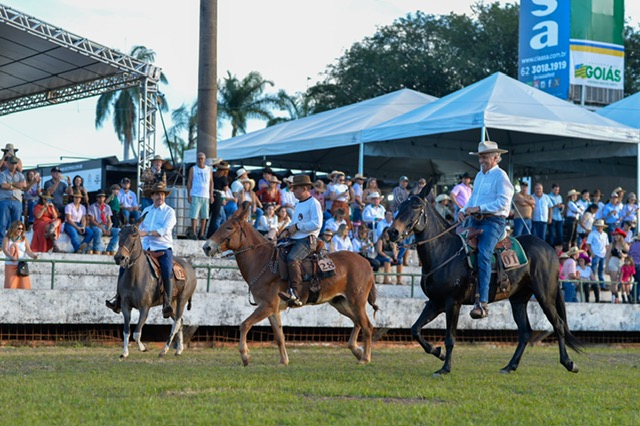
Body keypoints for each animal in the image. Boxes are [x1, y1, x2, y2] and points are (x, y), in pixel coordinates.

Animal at [114, 216, 196, 360]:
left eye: (134, 235)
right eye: (119, 233)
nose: (120, 257)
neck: (135, 276)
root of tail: (190, 268)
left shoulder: (144, 308)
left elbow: (136, 333)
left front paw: (143, 347)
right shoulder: (125, 306)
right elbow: (127, 331)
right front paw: (124, 353)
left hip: (182, 300)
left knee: (176, 323)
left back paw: (164, 351)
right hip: (171, 304)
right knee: (180, 321)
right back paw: (178, 350)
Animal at [202, 202, 378, 366]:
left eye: (229, 227)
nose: (206, 247)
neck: (263, 261)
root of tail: (367, 264)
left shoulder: (267, 306)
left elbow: (244, 325)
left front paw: (245, 356)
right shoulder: (272, 309)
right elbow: (279, 336)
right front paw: (283, 361)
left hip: (356, 302)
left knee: (367, 326)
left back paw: (365, 358)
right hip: (340, 302)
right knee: (358, 322)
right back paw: (357, 350)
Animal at [388, 183, 584, 376]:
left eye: (416, 206)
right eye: (400, 206)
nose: (392, 232)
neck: (444, 251)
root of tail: (549, 248)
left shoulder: (452, 303)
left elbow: (450, 338)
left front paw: (445, 368)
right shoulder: (435, 302)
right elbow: (415, 329)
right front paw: (438, 352)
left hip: (545, 295)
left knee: (558, 324)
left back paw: (569, 363)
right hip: (518, 299)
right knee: (525, 332)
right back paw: (509, 366)